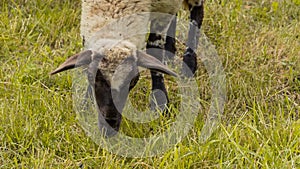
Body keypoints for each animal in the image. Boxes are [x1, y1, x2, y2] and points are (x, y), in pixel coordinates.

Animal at [51, 0, 205, 135]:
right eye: (91, 77)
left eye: (133, 81)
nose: (109, 127)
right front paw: (85, 106)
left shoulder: (163, 10)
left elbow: (154, 49)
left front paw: (159, 103)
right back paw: (169, 50)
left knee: (197, 13)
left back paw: (189, 62)